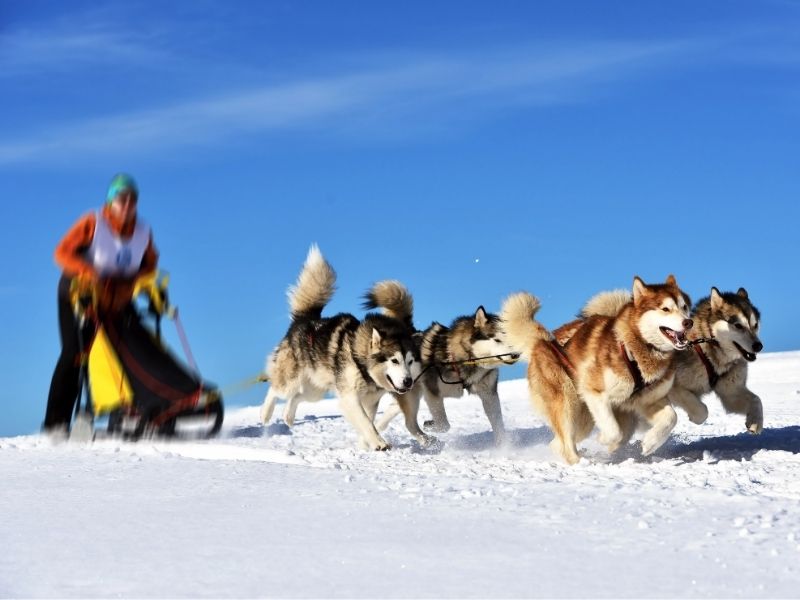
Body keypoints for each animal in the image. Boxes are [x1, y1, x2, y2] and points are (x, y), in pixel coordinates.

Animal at [260, 245, 432, 450]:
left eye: (410, 361)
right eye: (394, 360)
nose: (408, 381)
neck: (362, 363)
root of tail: (305, 319)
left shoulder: (370, 401)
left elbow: (369, 421)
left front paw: (366, 445)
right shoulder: (350, 397)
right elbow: (366, 422)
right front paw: (379, 443)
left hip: (316, 389)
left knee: (297, 397)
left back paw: (288, 416)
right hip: (292, 379)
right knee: (275, 389)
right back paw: (265, 414)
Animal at [374, 308, 520, 442]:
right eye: (497, 340)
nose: (516, 354)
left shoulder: (489, 394)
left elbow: (498, 424)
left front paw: (504, 447)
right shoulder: (432, 392)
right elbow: (444, 424)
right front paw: (430, 424)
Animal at [506, 276, 692, 464]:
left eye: (684, 307)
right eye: (665, 309)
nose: (688, 322)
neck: (636, 349)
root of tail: (544, 340)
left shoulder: (650, 400)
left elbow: (671, 417)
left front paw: (650, 443)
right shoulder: (595, 393)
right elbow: (614, 431)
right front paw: (604, 440)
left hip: (585, 419)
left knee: (559, 443)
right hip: (568, 404)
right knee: (567, 441)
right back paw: (579, 461)